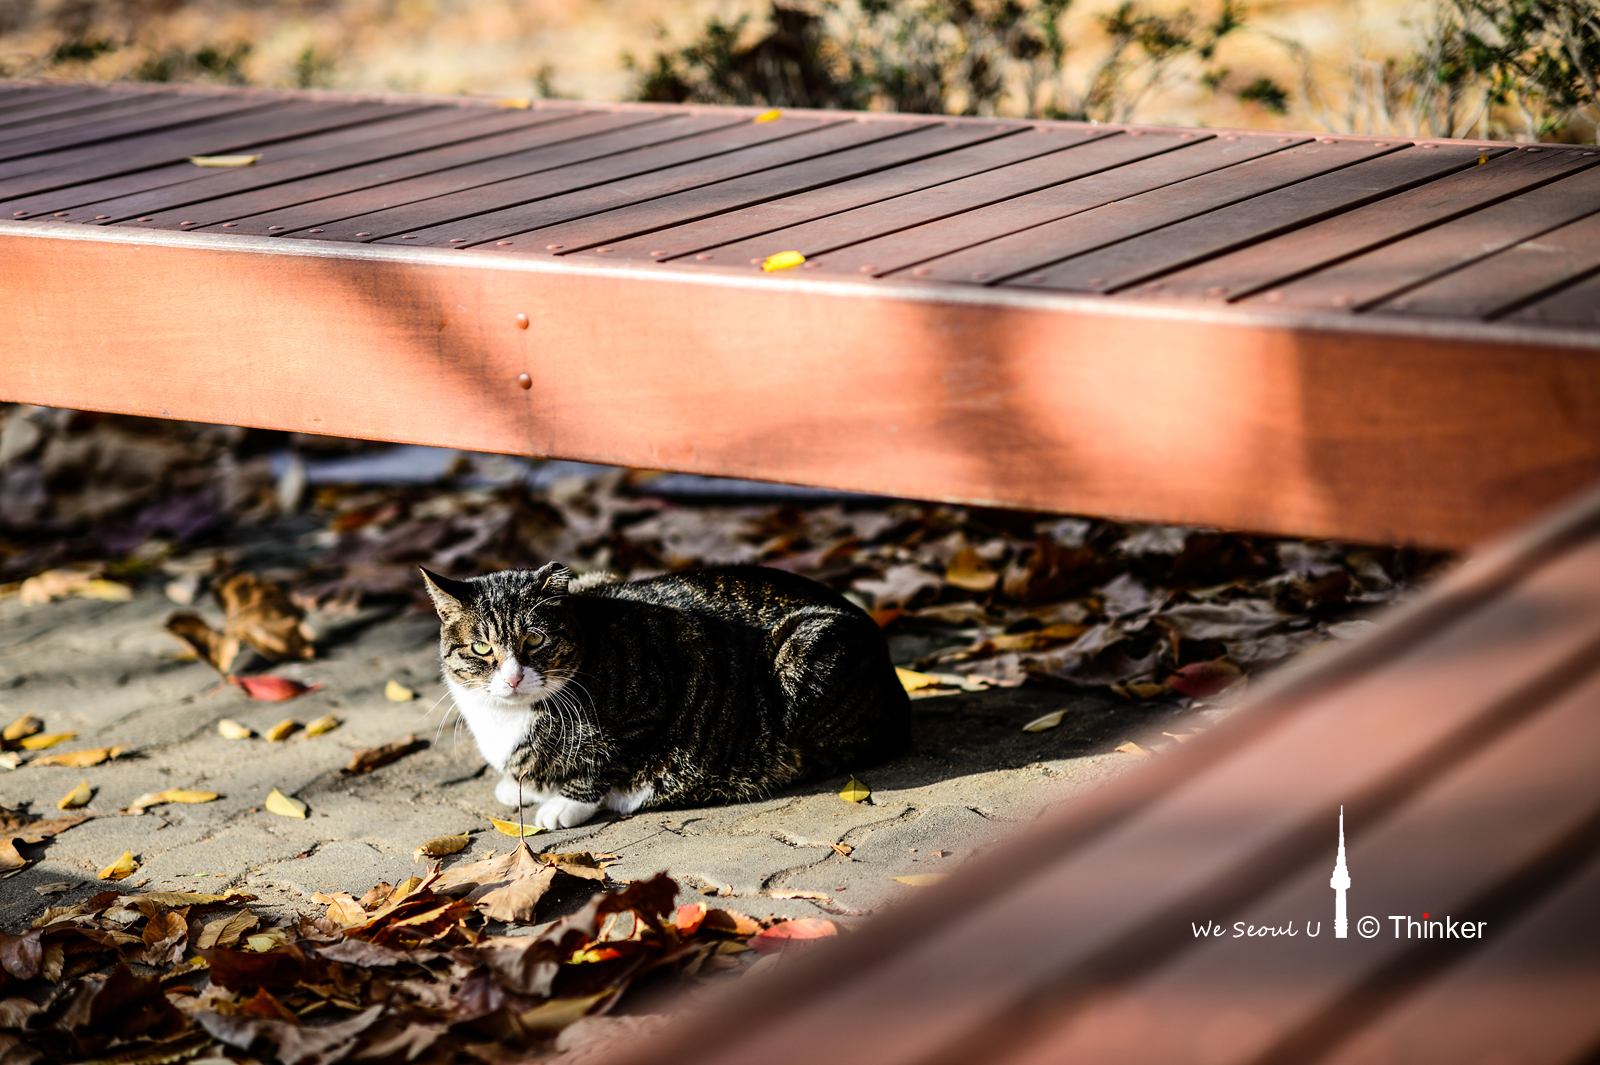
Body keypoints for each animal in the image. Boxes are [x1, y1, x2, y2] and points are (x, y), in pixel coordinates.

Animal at [419, 559, 908, 825]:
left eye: (535, 640)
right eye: (482, 648)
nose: (514, 678)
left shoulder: (652, 698)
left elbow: (602, 759)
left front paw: (567, 803)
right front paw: (520, 785)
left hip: (804, 652)